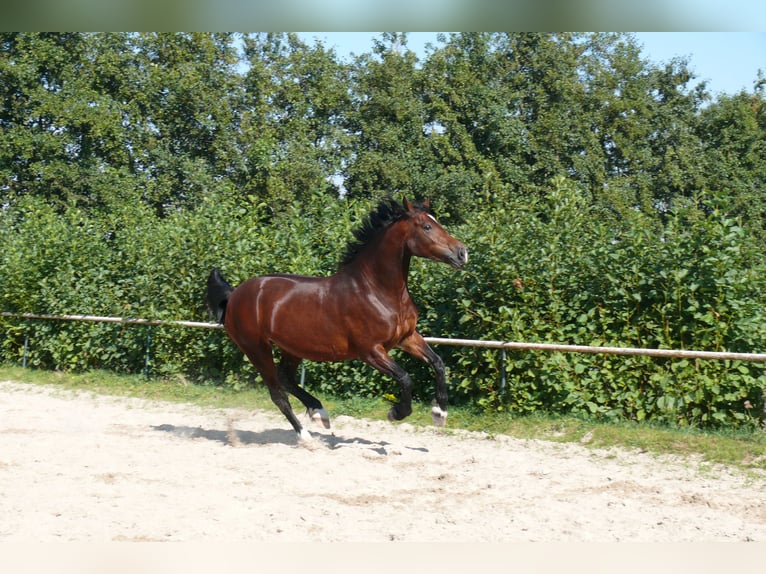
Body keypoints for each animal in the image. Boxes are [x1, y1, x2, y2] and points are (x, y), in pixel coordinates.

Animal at [206, 198, 468, 446]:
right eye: (427, 226)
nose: (462, 253)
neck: (376, 290)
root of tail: (234, 295)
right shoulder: (370, 351)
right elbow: (405, 378)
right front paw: (396, 413)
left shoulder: (407, 337)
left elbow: (438, 363)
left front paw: (439, 413)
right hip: (256, 349)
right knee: (277, 393)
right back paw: (306, 437)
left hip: (292, 348)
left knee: (286, 379)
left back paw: (319, 414)